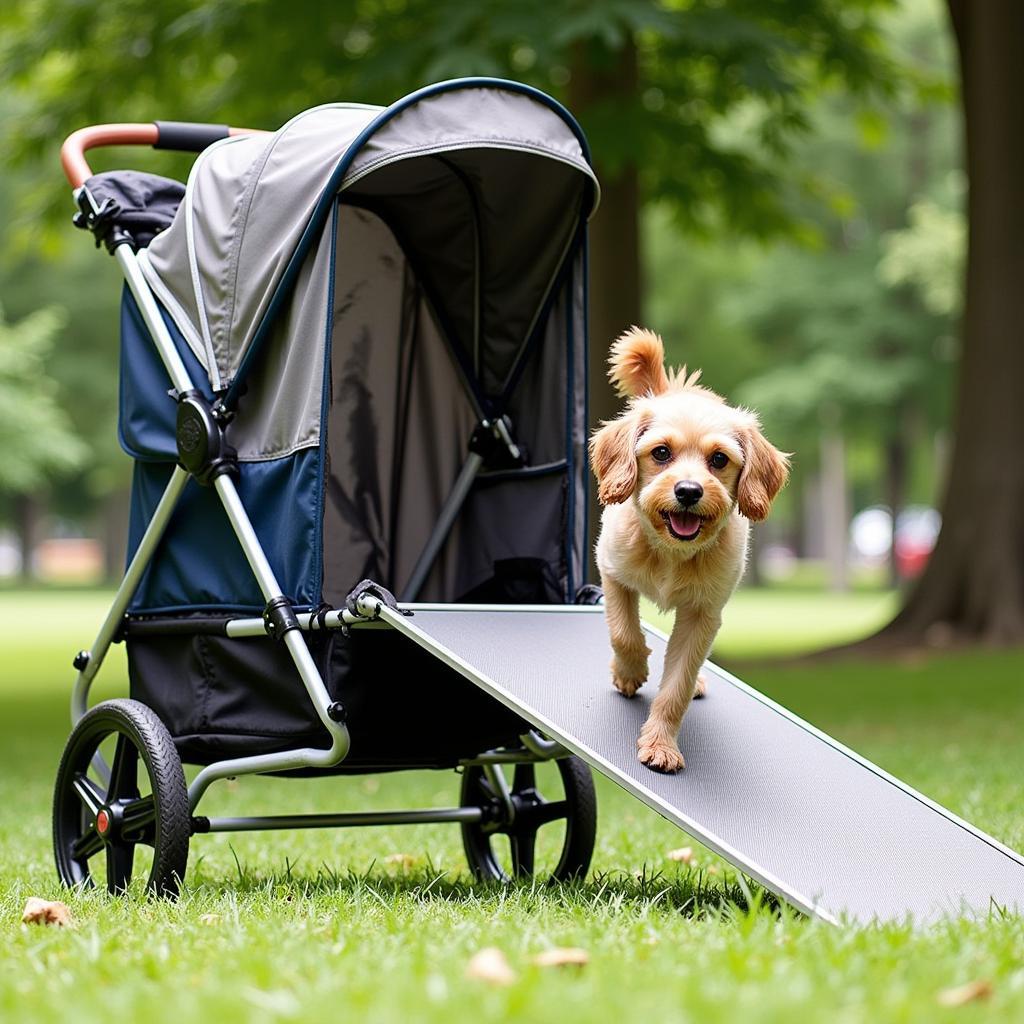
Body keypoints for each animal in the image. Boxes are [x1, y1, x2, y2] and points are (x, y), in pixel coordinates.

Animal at [589, 325, 786, 770]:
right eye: (661, 452)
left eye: (719, 459)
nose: (689, 491)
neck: (670, 552)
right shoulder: (612, 572)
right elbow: (624, 633)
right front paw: (630, 670)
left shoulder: (702, 614)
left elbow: (676, 684)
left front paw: (660, 744)